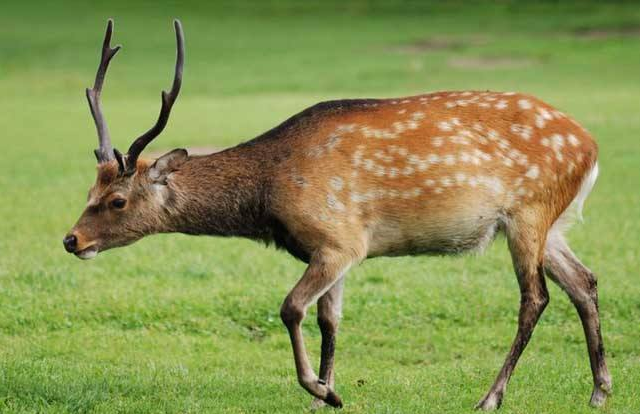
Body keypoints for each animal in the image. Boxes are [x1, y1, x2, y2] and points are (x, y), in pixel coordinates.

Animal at [63, 19, 608, 410]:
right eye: (89, 187)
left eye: (117, 201)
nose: (71, 240)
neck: (269, 195)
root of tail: (590, 147)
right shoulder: (336, 250)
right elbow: (330, 319)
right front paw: (326, 395)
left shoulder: (339, 238)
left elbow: (291, 308)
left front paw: (321, 390)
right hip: (550, 223)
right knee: (584, 281)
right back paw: (599, 391)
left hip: (529, 212)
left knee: (535, 298)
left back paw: (491, 397)